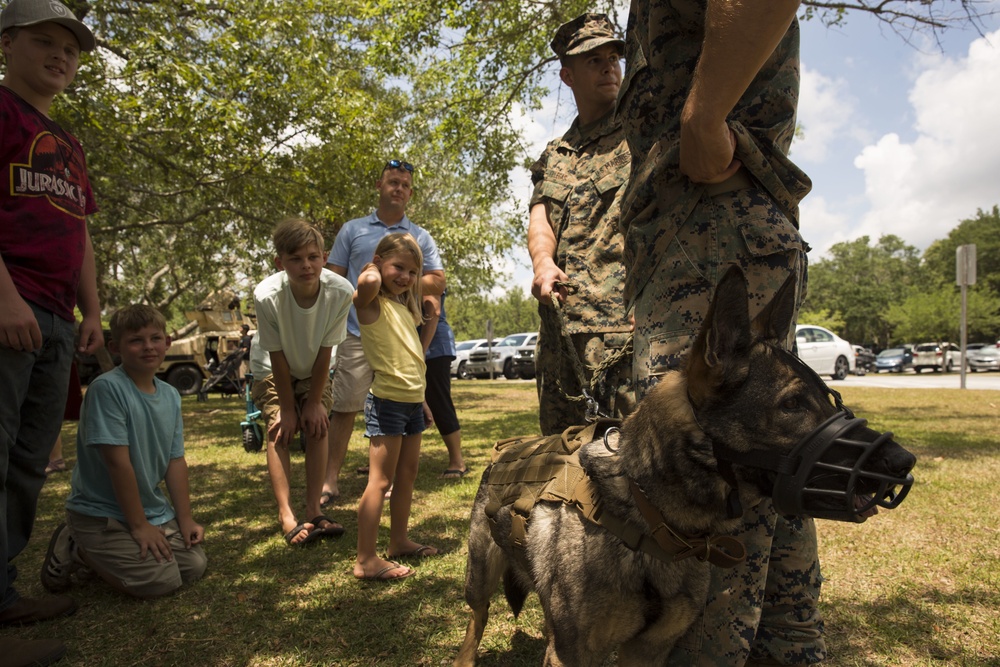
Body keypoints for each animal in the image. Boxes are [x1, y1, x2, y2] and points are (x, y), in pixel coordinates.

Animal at [458, 268, 916, 667]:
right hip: (479, 579)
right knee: (475, 621)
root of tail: (504, 450)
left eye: (830, 398)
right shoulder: (572, 655)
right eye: (792, 405)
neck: (649, 514)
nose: (904, 461)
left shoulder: (647, 653)